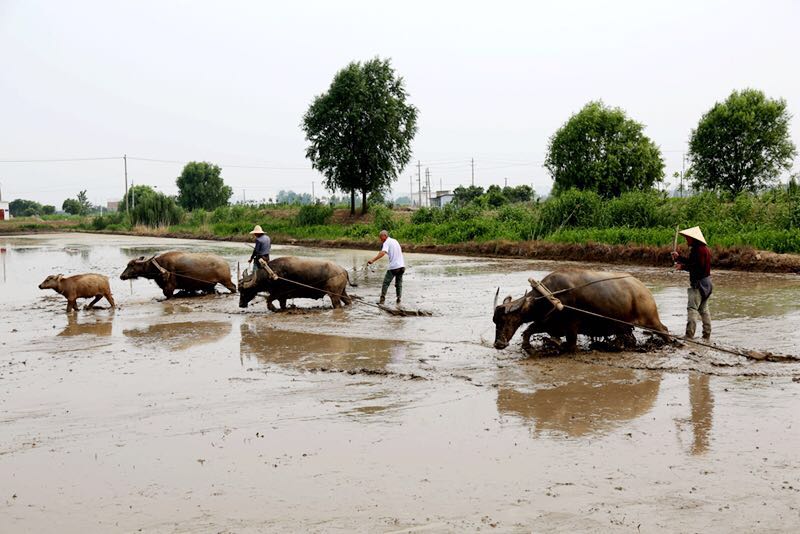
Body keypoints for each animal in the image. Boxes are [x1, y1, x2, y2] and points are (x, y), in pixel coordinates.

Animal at [493, 269, 669, 353]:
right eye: (495, 321)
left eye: (508, 319)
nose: (498, 344)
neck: (549, 296)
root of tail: (642, 288)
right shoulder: (547, 323)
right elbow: (528, 331)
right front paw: (530, 346)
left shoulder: (571, 327)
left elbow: (569, 345)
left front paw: (553, 344)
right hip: (623, 326)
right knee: (629, 339)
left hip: (650, 319)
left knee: (664, 330)